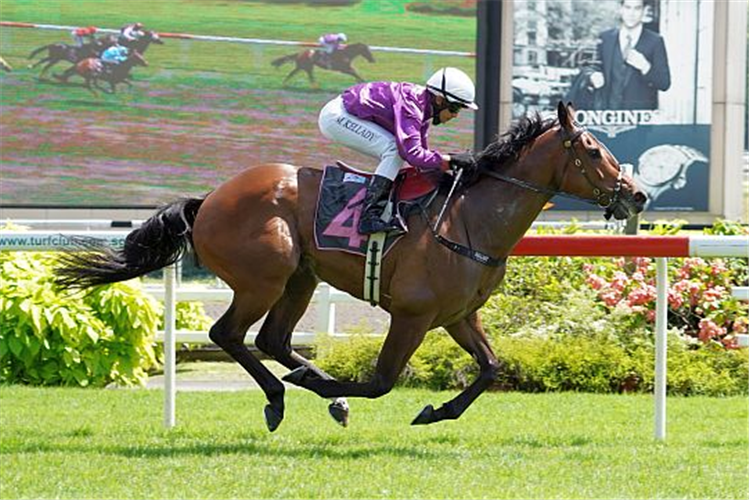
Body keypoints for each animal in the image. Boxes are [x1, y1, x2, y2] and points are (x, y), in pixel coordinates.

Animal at [57, 102, 644, 434]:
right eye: (592, 150)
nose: (636, 195)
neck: (469, 220)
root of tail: (210, 199)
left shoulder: (458, 316)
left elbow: (491, 368)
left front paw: (435, 411)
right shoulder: (411, 315)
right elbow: (382, 382)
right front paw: (335, 391)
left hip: (301, 277)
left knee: (270, 339)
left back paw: (312, 386)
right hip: (264, 276)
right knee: (229, 334)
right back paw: (284, 395)